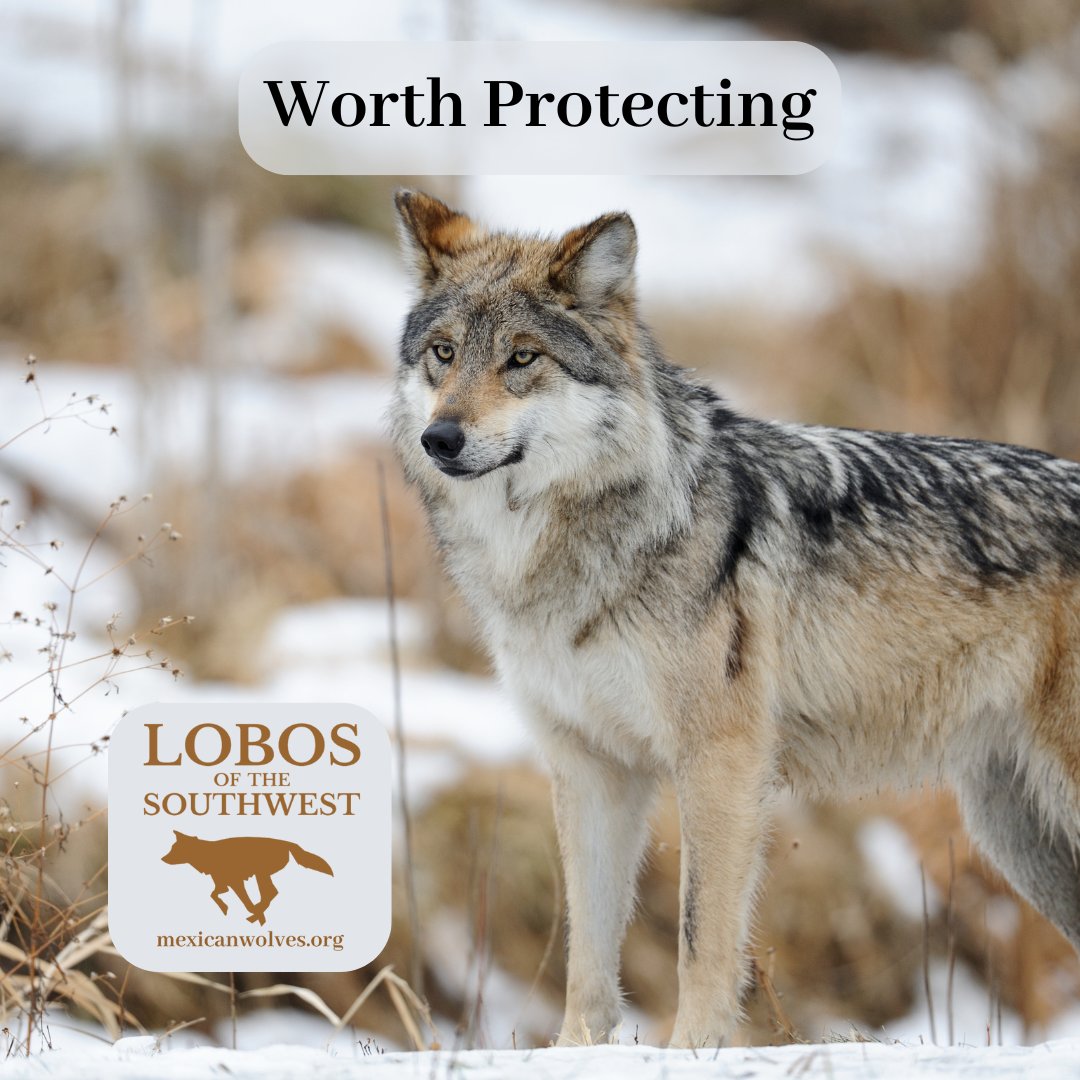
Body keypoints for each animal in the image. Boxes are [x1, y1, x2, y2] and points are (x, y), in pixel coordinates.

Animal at [161, 832, 333, 926]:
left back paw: (255, 915)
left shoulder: (236, 883)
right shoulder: (223, 884)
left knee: (270, 893)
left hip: (260, 874)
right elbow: (213, 894)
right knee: (271, 893)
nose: (162, 859)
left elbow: (245, 903)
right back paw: (256, 913)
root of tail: (288, 843)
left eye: (175, 849)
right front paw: (225, 908)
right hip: (261, 875)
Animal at [389, 190, 1080, 1048]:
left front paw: (694, 1049)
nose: (441, 437)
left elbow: (699, 935)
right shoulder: (590, 767)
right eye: (444, 354)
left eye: (522, 359)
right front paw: (576, 1051)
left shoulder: (720, 759)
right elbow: (587, 948)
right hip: (1016, 831)